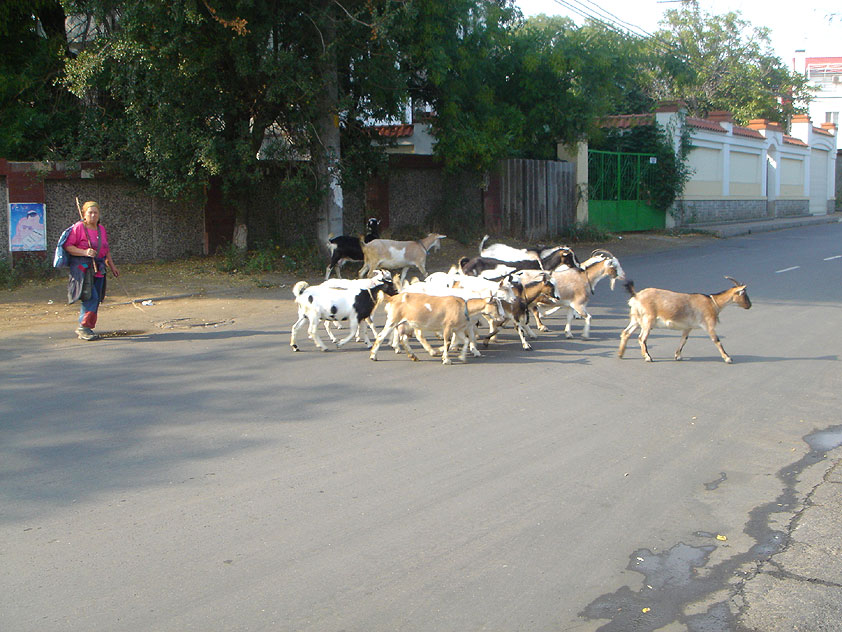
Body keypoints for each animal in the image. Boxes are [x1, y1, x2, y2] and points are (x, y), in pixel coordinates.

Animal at [618, 277, 751, 363]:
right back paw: (648, 357)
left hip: (636, 319)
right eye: (744, 294)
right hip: (648, 320)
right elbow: (716, 340)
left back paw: (620, 354)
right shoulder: (708, 325)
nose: (749, 305)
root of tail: (636, 296)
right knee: (641, 338)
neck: (713, 303)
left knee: (625, 333)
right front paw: (728, 358)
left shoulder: (688, 327)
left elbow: (683, 340)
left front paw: (677, 356)